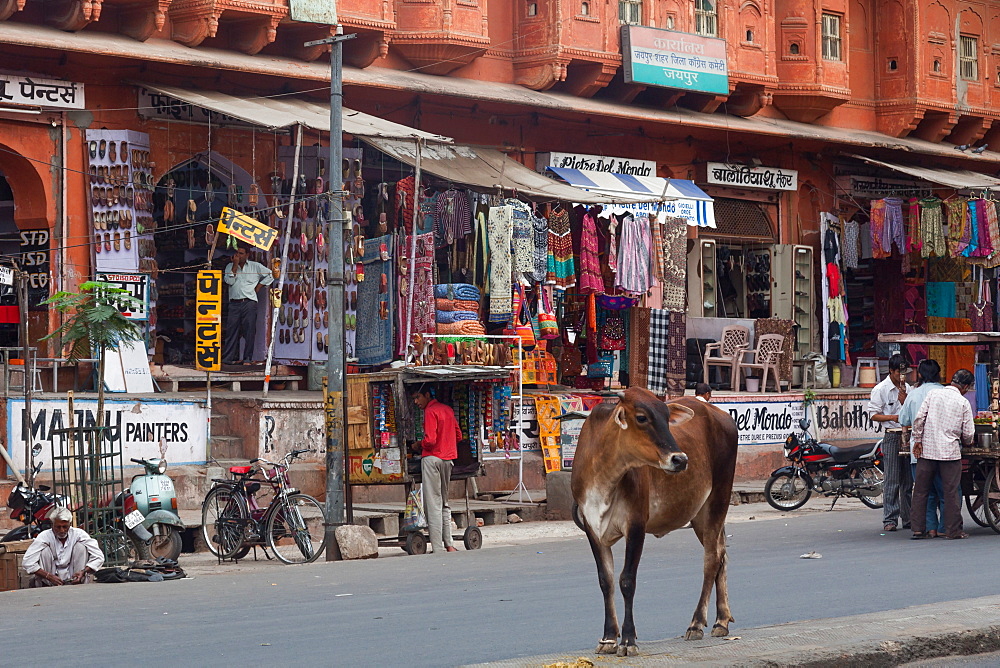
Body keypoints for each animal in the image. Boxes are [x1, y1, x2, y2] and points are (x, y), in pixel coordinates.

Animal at [568, 388, 740, 656]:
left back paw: (696, 623)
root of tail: (720, 414)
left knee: (711, 559)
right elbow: (606, 580)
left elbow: (627, 580)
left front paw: (628, 640)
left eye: (667, 417)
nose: (680, 459)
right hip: (700, 514)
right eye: (641, 417)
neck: (604, 475)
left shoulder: (636, 524)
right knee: (721, 553)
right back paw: (721, 620)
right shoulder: (592, 528)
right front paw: (608, 638)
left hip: (718, 499)